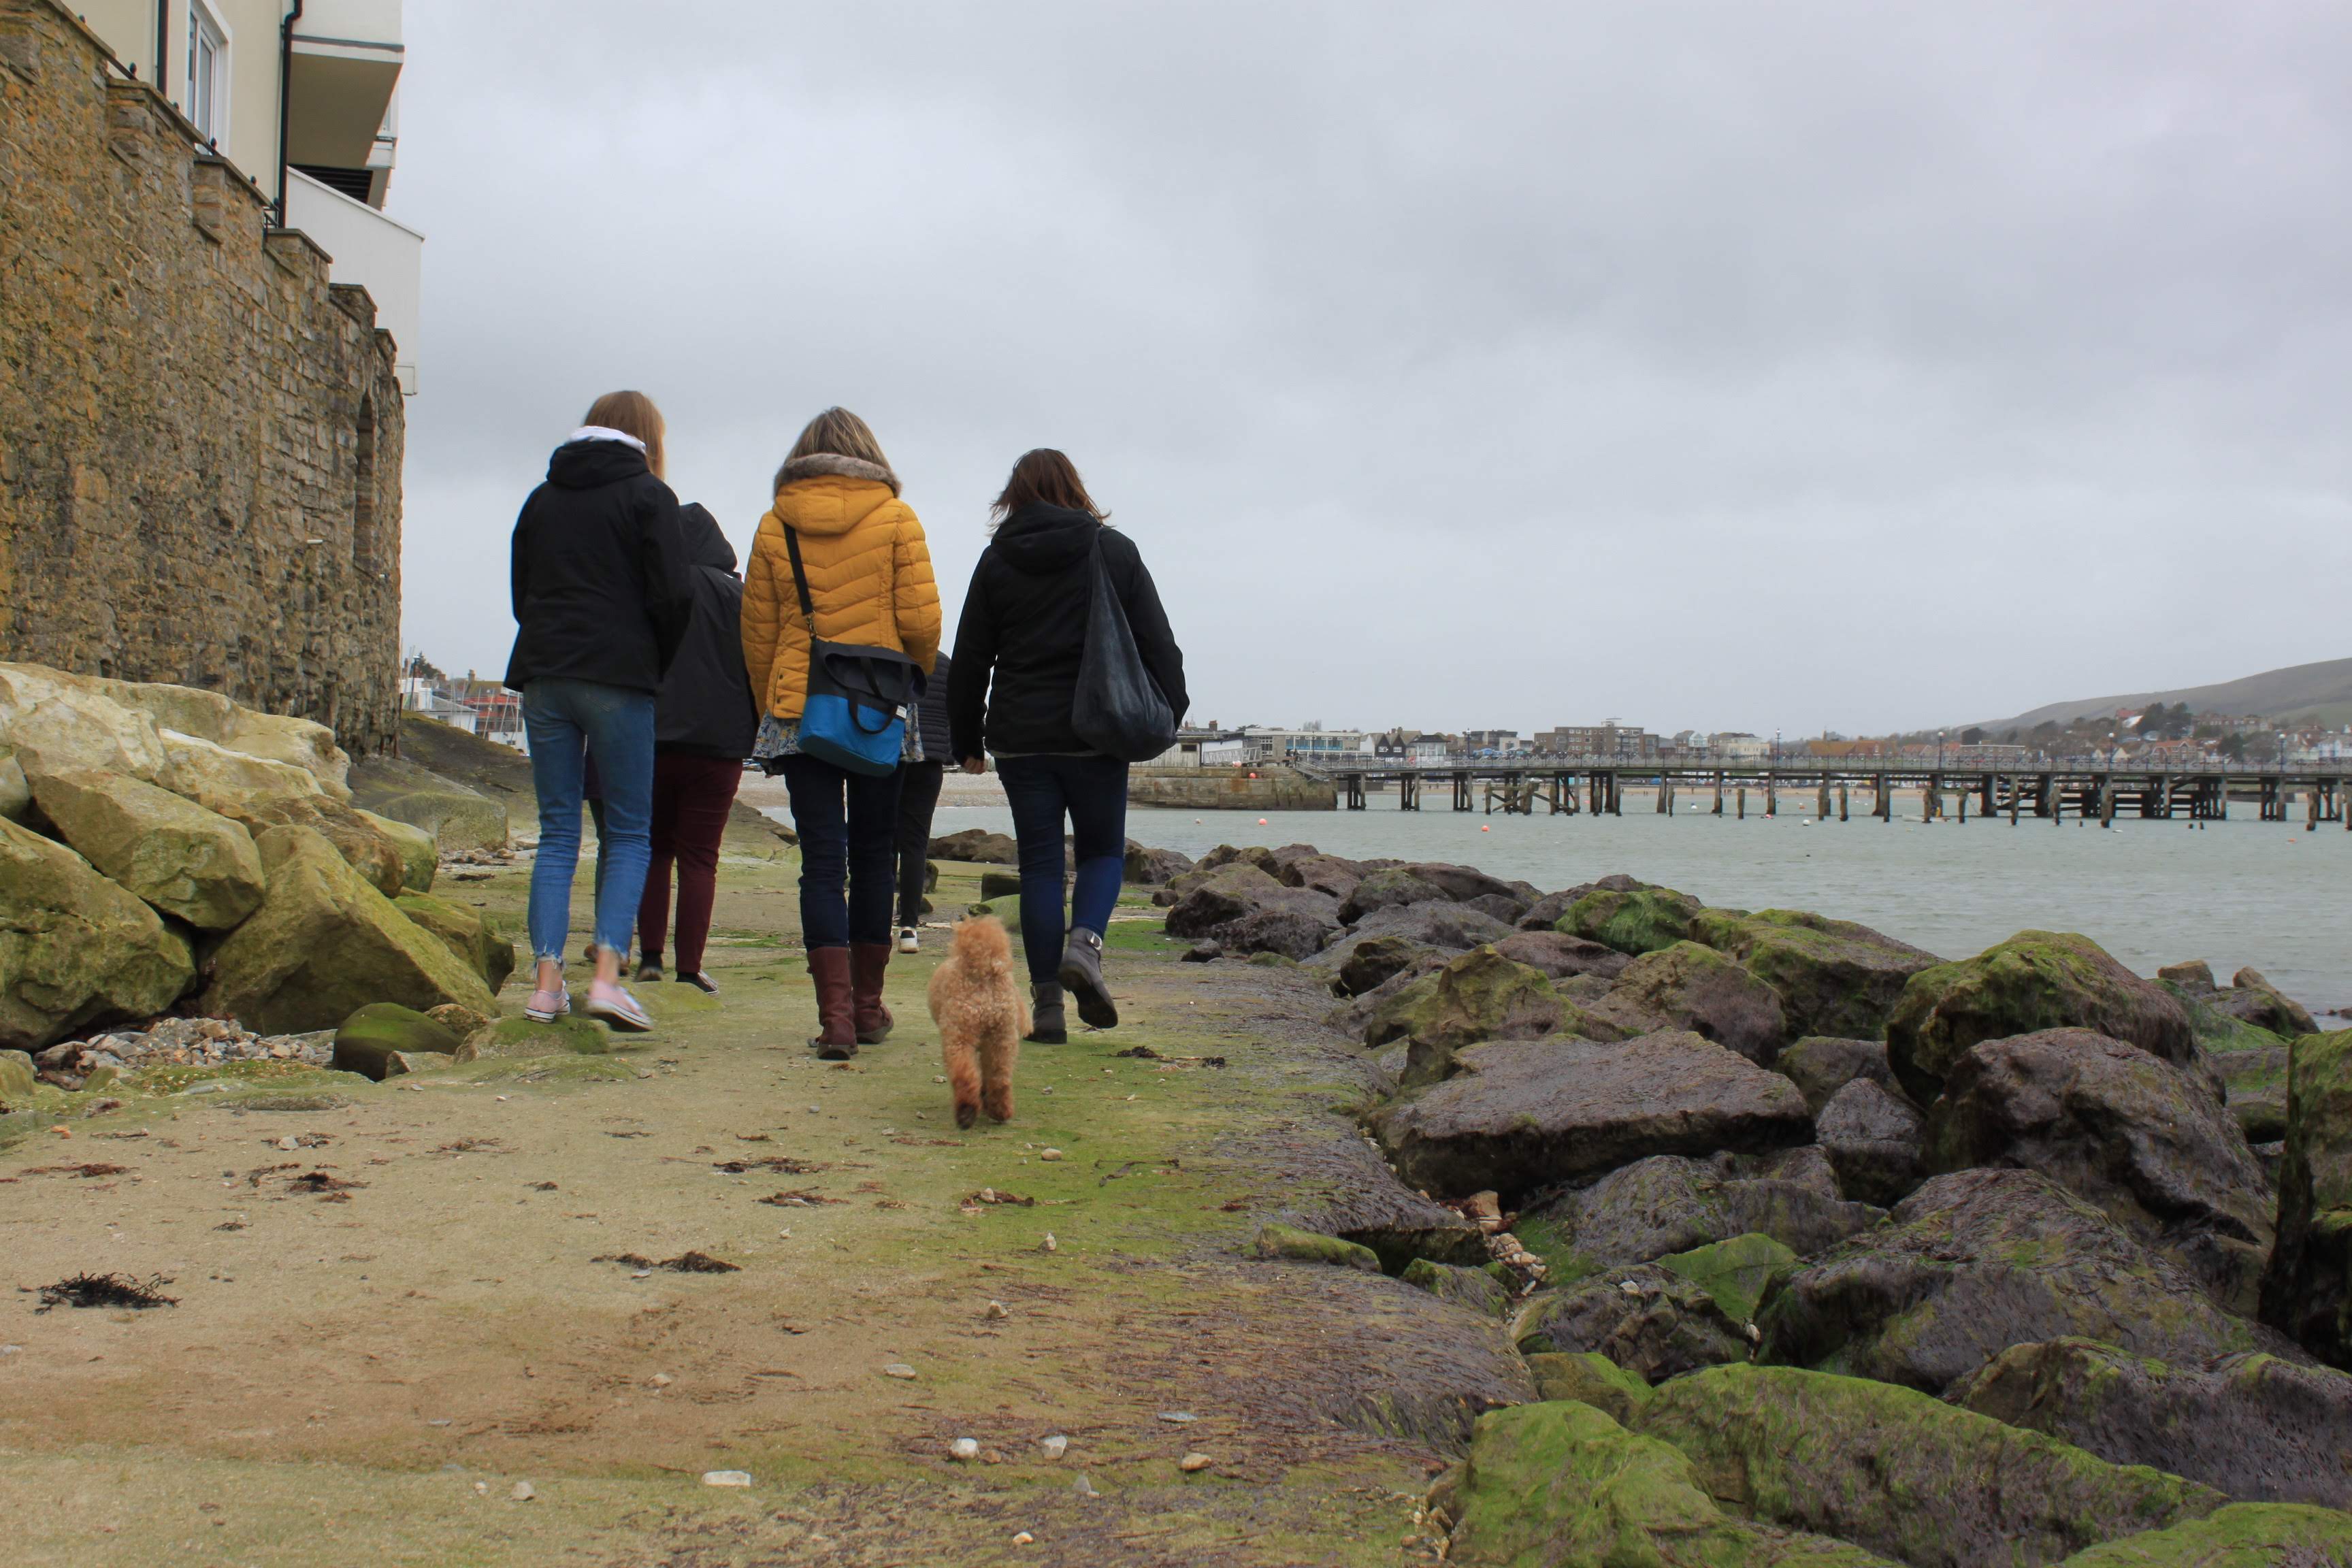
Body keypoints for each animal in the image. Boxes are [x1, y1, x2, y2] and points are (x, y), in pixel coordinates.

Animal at [921, 921, 1025, 1128]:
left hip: (959, 1035)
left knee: (963, 1074)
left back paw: (966, 1112)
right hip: (1002, 1038)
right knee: (999, 1077)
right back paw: (1000, 1110)